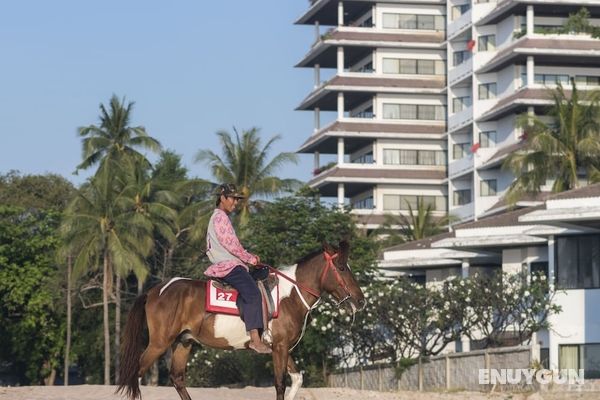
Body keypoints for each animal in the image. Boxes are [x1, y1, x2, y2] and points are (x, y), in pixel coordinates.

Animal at [116, 241, 366, 400]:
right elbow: (280, 384)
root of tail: (155, 291)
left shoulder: (282, 347)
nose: (360, 300)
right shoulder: (280, 347)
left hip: (183, 342)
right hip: (159, 343)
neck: (289, 295)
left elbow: (297, 379)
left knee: (177, 378)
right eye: (342, 268)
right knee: (134, 375)